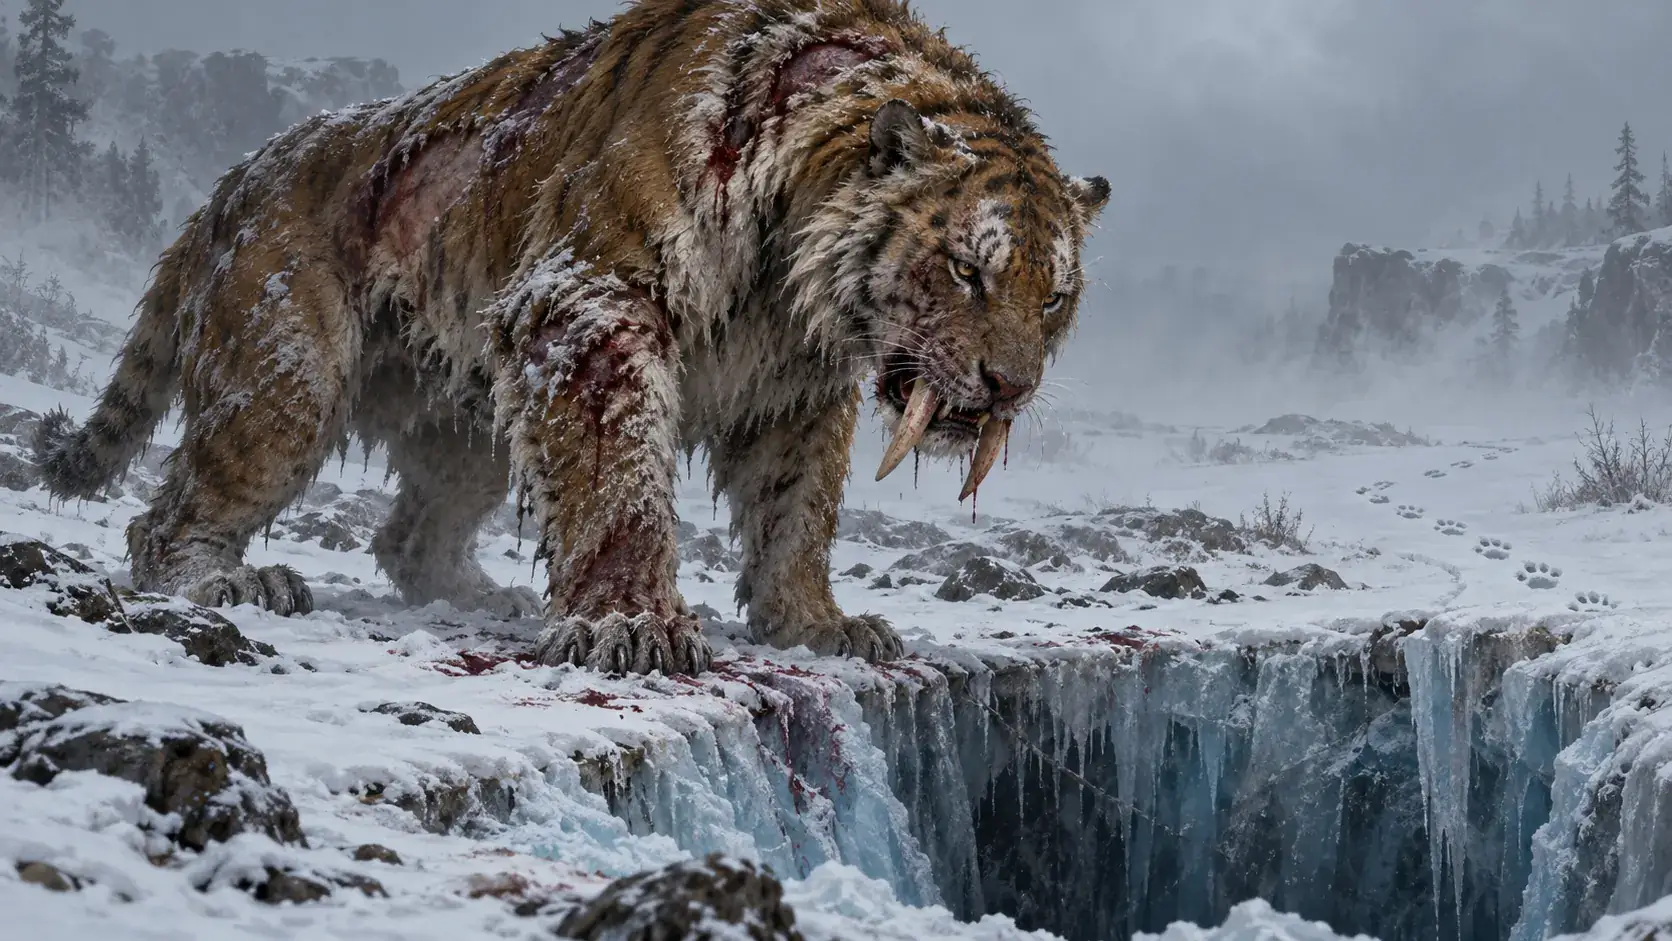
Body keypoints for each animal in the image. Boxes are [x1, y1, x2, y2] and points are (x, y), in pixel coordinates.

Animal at [35, 0, 1109, 675]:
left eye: (1054, 296)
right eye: (967, 269)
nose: (1009, 386)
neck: (793, 280)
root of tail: (230, 182)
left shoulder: (797, 389)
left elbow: (796, 514)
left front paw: (818, 624)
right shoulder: (589, 295)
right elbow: (619, 476)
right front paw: (632, 625)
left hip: (466, 420)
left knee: (407, 532)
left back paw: (482, 596)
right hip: (283, 380)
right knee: (169, 513)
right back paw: (227, 576)